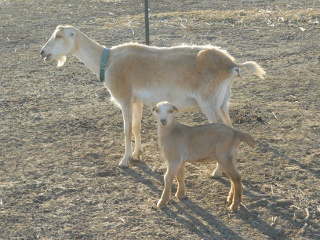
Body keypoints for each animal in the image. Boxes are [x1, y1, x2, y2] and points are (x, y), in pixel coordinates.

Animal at [40, 25, 264, 173]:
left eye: (58, 35)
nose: (43, 52)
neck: (107, 61)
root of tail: (232, 64)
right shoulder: (137, 100)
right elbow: (136, 127)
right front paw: (137, 154)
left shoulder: (124, 98)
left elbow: (126, 130)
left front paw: (124, 160)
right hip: (223, 101)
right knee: (230, 126)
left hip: (209, 102)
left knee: (221, 128)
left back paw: (217, 171)